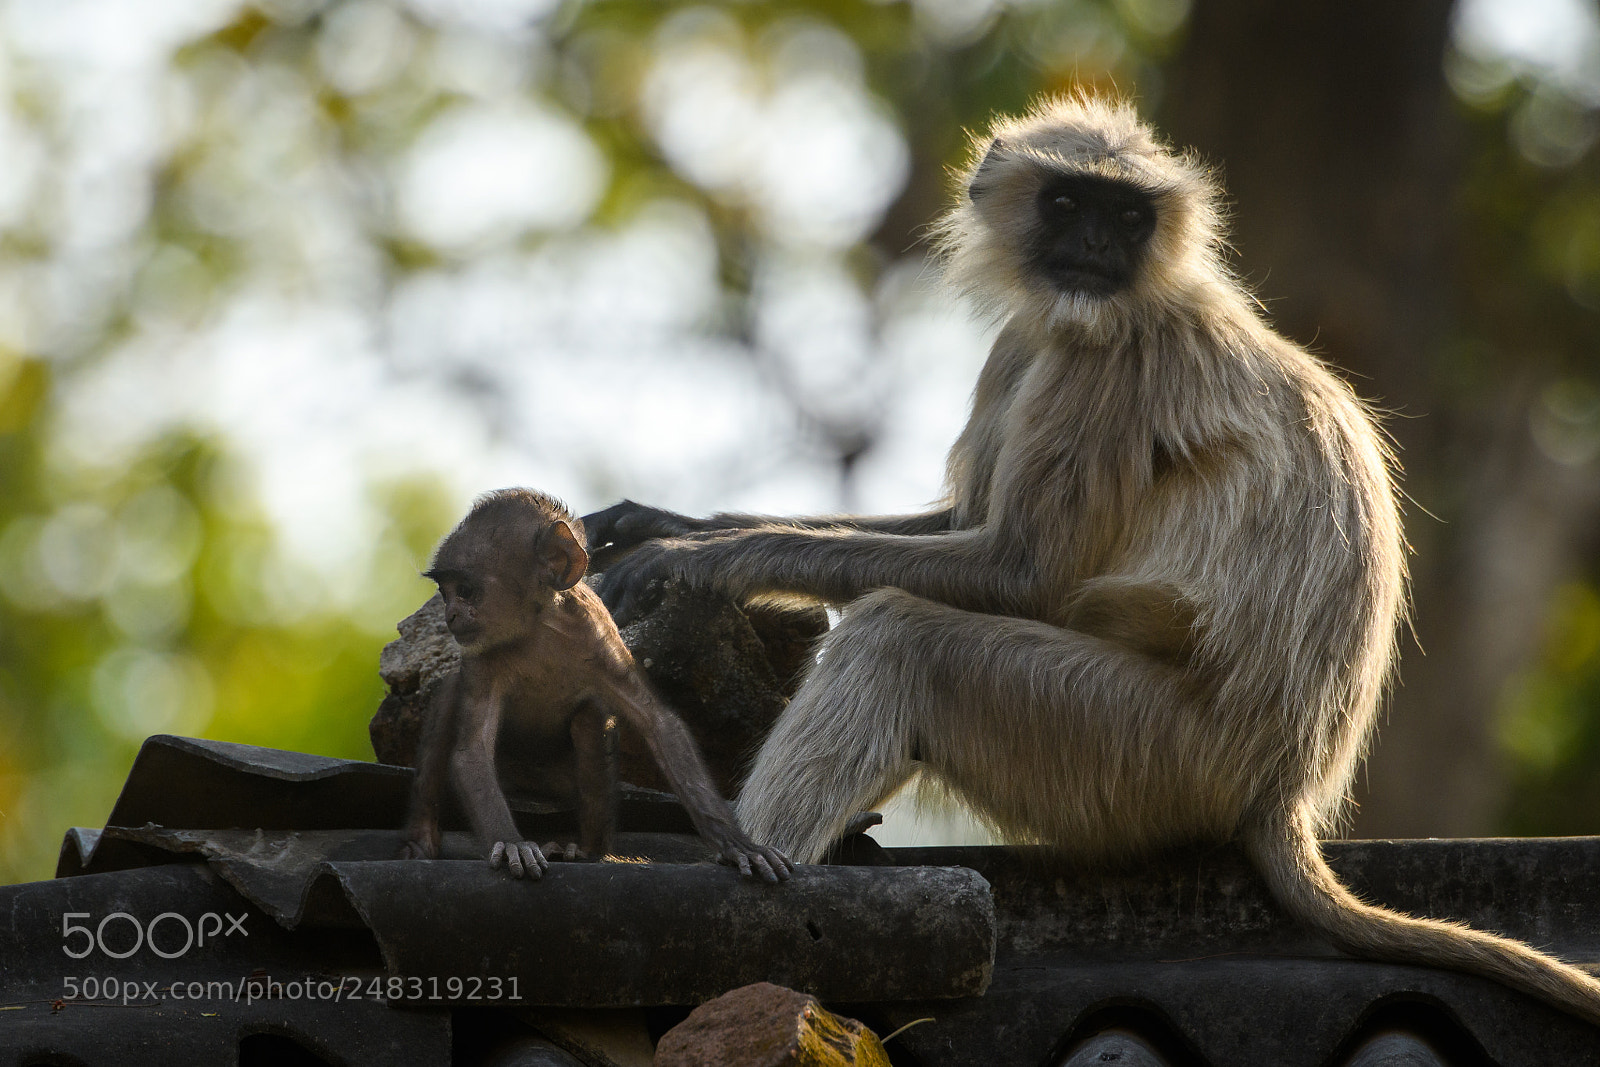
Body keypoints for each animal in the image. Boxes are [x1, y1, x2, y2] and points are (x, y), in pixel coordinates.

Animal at [400, 488, 792, 883]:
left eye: (465, 591)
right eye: (445, 592)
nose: (450, 614)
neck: (538, 630)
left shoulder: (598, 634)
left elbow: (659, 723)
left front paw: (736, 843)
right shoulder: (479, 657)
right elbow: (472, 751)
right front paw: (511, 844)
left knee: (591, 718)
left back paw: (587, 851)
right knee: (449, 697)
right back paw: (422, 842)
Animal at [583, 97, 1600, 1023]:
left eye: (1130, 215)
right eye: (1069, 203)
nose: (1100, 247)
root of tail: (1283, 789)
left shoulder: (1114, 358)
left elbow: (1022, 573)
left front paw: (700, 557)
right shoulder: (1028, 343)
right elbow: (965, 522)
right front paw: (663, 521)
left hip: (1140, 748)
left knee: (896, 636)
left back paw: (749, 863)